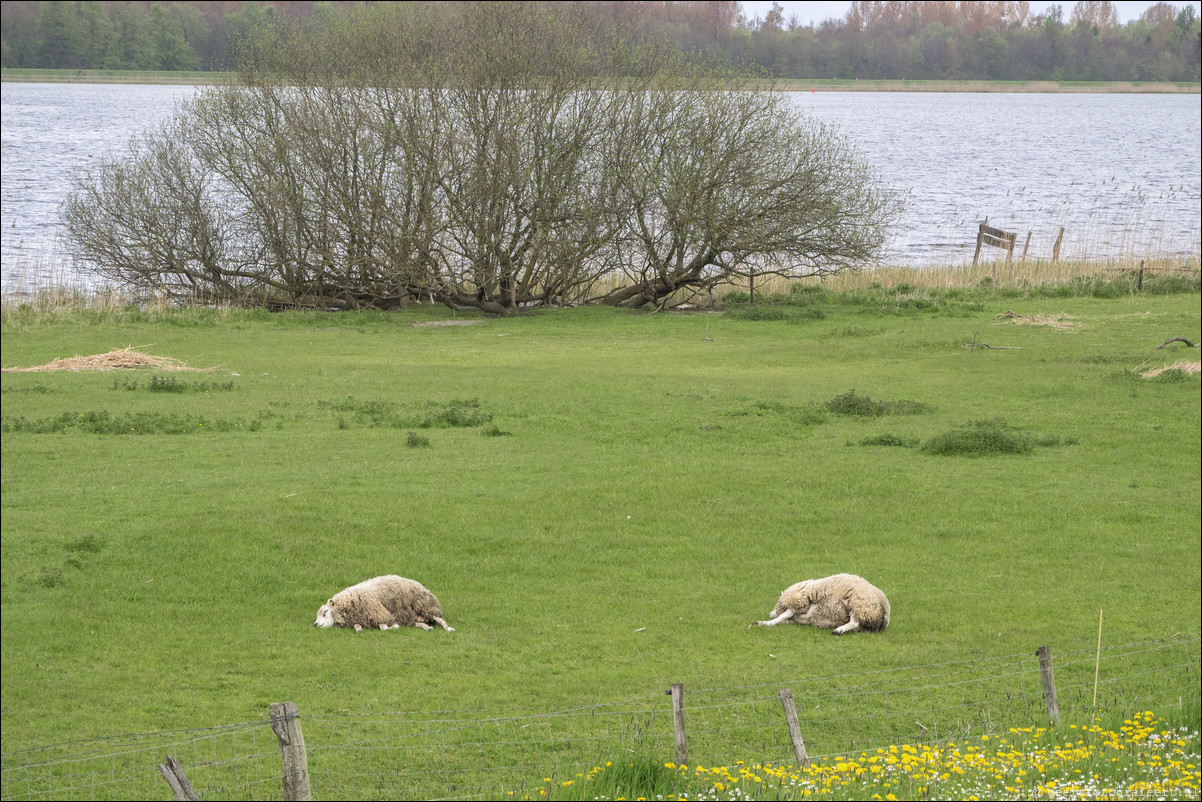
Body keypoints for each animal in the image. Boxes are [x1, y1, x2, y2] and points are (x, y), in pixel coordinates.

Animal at [312, 577, 451, 634]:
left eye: (325, 612)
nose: (315, 624)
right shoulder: (360, 618)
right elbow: (358, 626)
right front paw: (359, 629)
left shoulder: (380, 614)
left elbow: (384, 627)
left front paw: (394, 627)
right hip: (411, 616)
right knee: (418, 623)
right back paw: (427, 627)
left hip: (426, 606)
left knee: (440, 619)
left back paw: (449, 629)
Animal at [754, 574, 889, 634]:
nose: (769, 613)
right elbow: (784, 620)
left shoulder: (800, 602)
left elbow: (782, 616)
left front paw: (764, 623)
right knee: (857, 625)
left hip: (860, 604)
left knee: (854, 622)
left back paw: (838, 630)